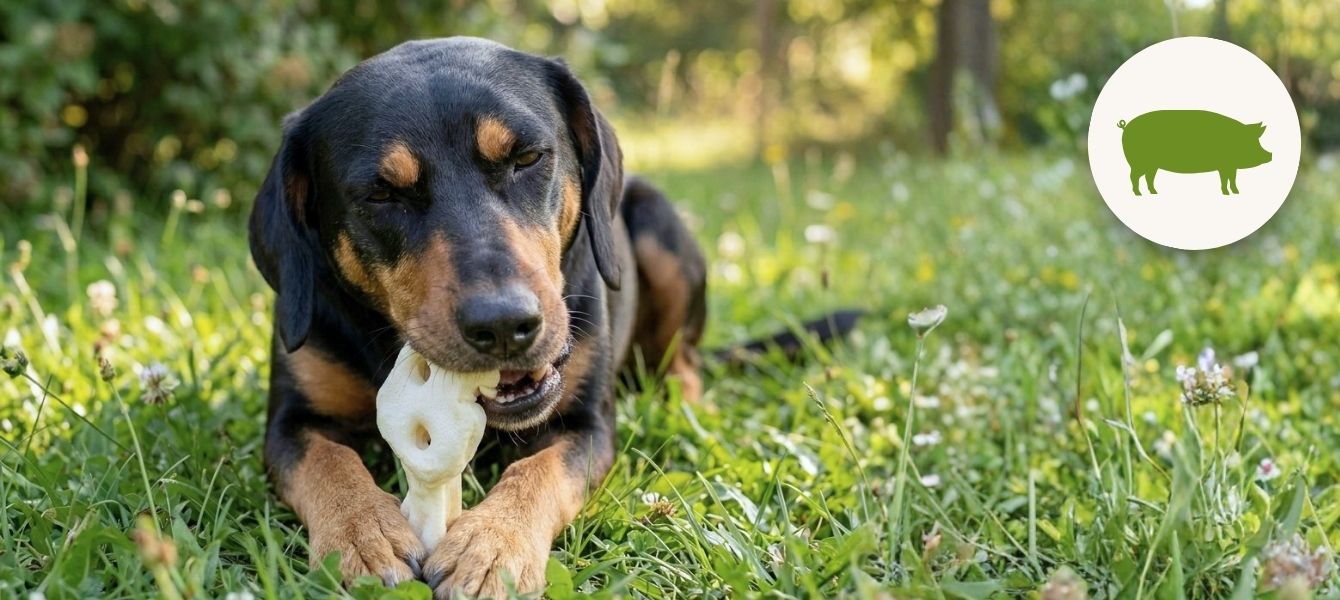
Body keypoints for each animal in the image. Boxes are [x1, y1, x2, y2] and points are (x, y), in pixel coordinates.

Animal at [1119, 110, 1272, 196]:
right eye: (1253, 143)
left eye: (1258, 142)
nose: (1270, 155)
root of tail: (1125, 127)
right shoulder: (1224, 165)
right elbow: (1226, 179)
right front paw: (1228, 193)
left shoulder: (1230, 166)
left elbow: (1231, 178)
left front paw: (1234, 192)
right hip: (1139, 163)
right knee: (1134, 176)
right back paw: (1138, 194)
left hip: (1152, 166)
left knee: (1148, 177)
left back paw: (1153, 192)